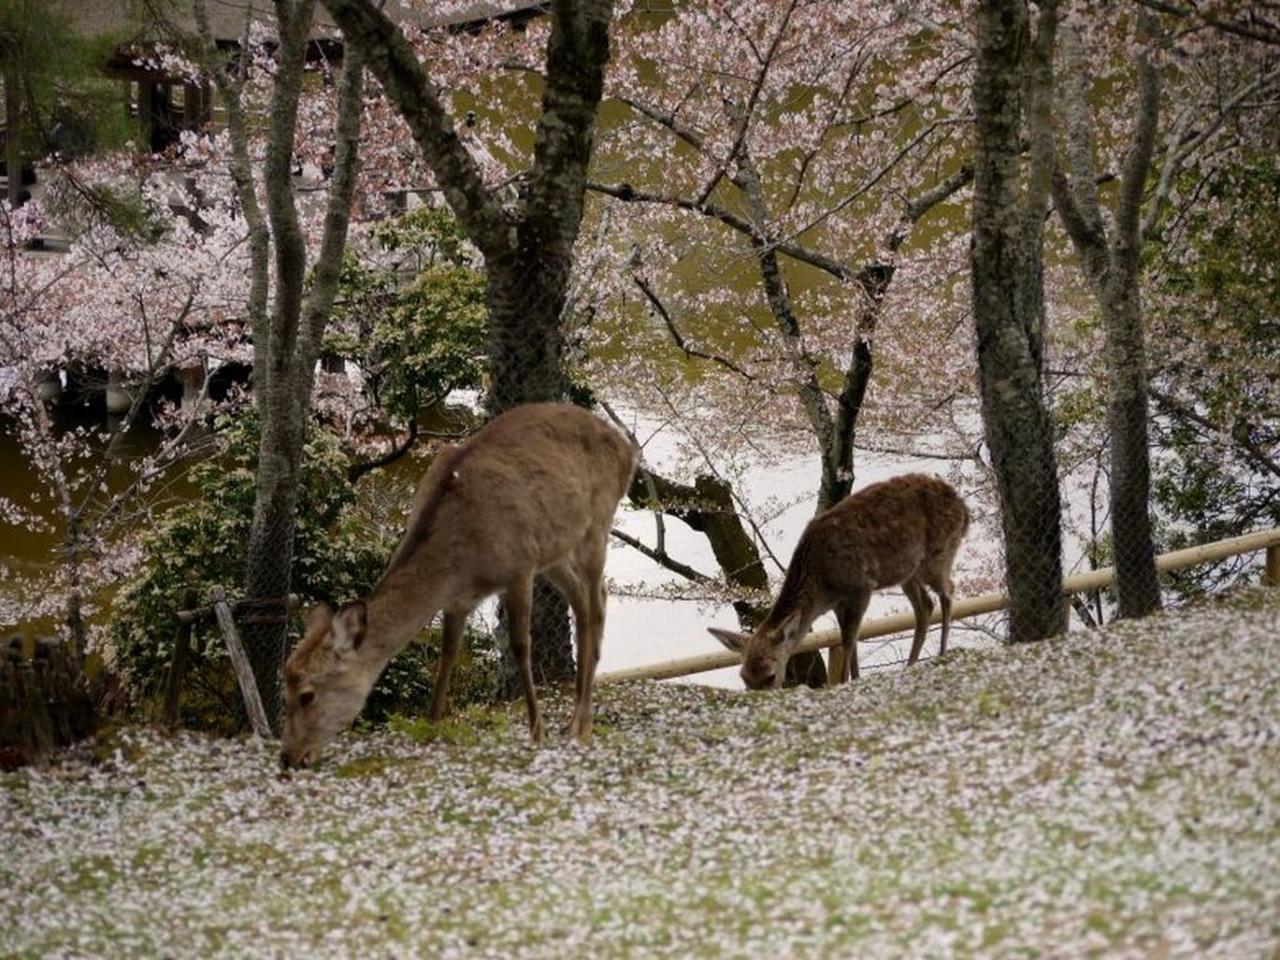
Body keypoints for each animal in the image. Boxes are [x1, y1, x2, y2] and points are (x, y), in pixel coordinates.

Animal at [282, 404, 637, 768]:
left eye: (307, 695)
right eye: (284, 689)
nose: (289, 757)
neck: (463, 562)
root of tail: (627, 449)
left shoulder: (519, 567)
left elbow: (520, 646)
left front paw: (536, 732)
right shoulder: (458, 600)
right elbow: (447, 654)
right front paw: (430, 726)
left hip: (597, 524)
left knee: (596, 603)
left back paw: (582, 722)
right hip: (555, 548)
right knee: (583, 601)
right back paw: (573, 719)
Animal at [706, 476, 962, 691]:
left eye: (770, 676)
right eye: (744, 678)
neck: (823, 585)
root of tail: (964, 509)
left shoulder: (862, 585)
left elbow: (849, 640)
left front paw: (845, 682)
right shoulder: (839, 602)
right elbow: (849, 640)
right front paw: (854, 678)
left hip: (938, 554)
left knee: (948, 590)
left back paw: (943, 653)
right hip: (908, 573)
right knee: (925, 605)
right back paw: (911, 664)